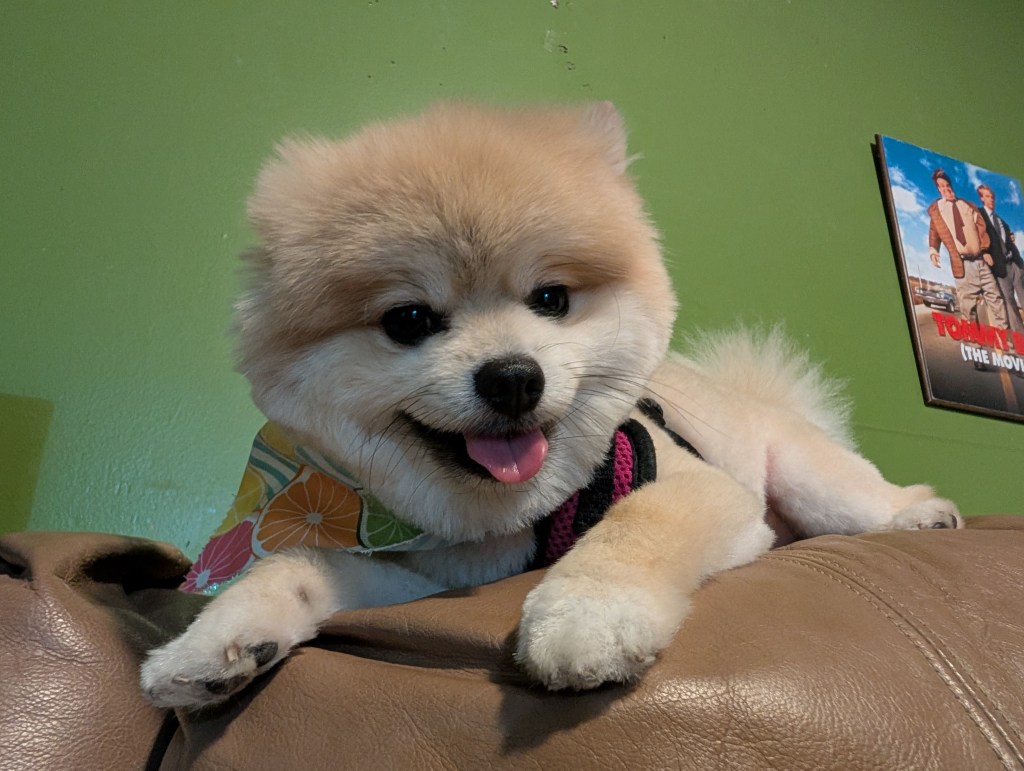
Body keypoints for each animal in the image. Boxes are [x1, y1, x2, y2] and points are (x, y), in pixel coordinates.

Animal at [141, 102, 962, 709]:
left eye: (551, 299)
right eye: (409, 319)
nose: (512, 377)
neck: (512, 514)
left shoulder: (703, 489)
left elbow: (636, 523)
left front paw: (586, 616)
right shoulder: (433, 572)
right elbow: (296, 563)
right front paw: (211, 643)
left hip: (808, 480)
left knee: (865, 499)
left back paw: (918, 513)